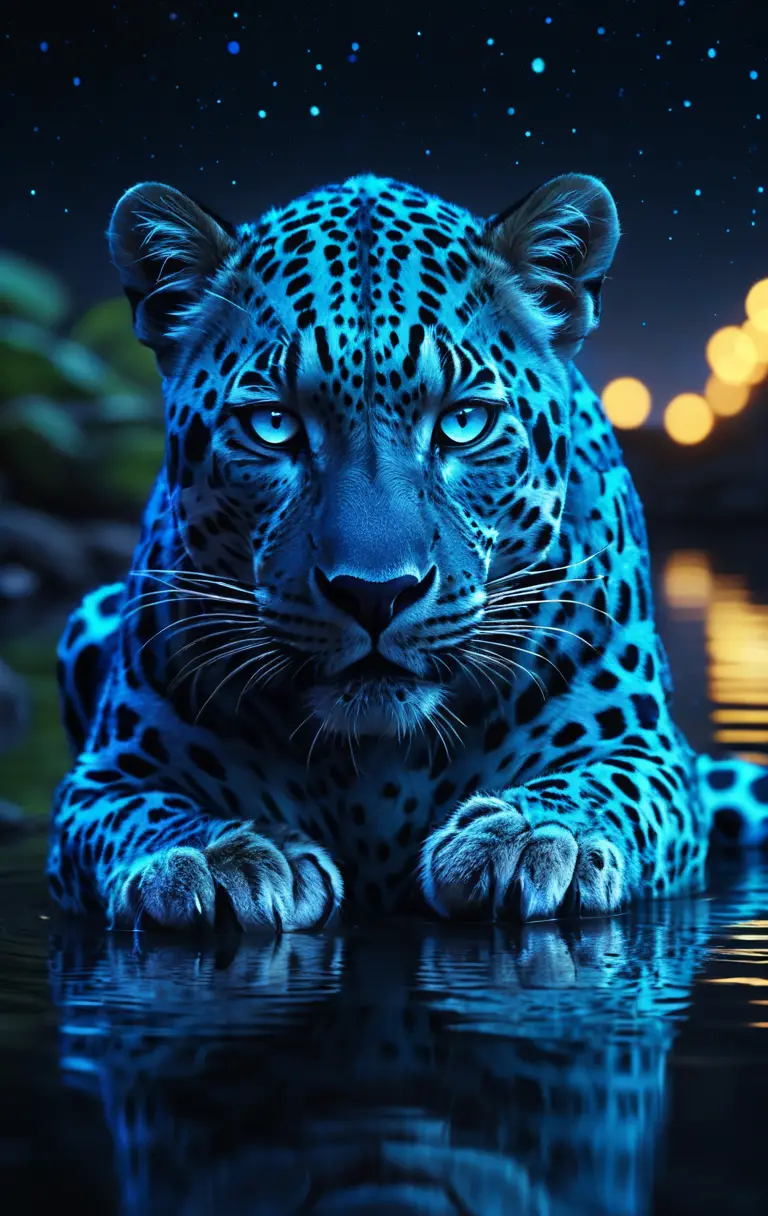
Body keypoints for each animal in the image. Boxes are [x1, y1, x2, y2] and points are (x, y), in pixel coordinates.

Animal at [47, 170, 768, 933]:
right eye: (274, 425)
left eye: (464, 422)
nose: (375, 594)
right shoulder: (106, 776)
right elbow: (143, 813)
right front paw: (217, 853)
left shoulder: (648, 749)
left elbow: (609, 784)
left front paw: (537, 834)